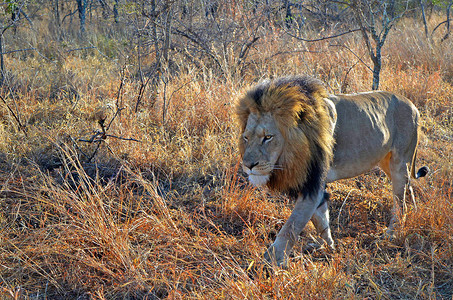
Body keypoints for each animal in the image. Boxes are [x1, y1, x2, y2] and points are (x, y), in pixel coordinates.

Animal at [235, 74, 430, 264]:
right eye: (246, 138)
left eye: (268, 137)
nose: (248, 165)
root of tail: (412, 104)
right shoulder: (314, 184)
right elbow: (320, 219)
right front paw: (328, 246)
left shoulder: (313, 182)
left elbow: (291, 226)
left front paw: (272, 260)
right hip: (385, 161)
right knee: (408, 188)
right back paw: (413, 215)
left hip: (399, 161)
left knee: (399, 198)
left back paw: (392, 232)